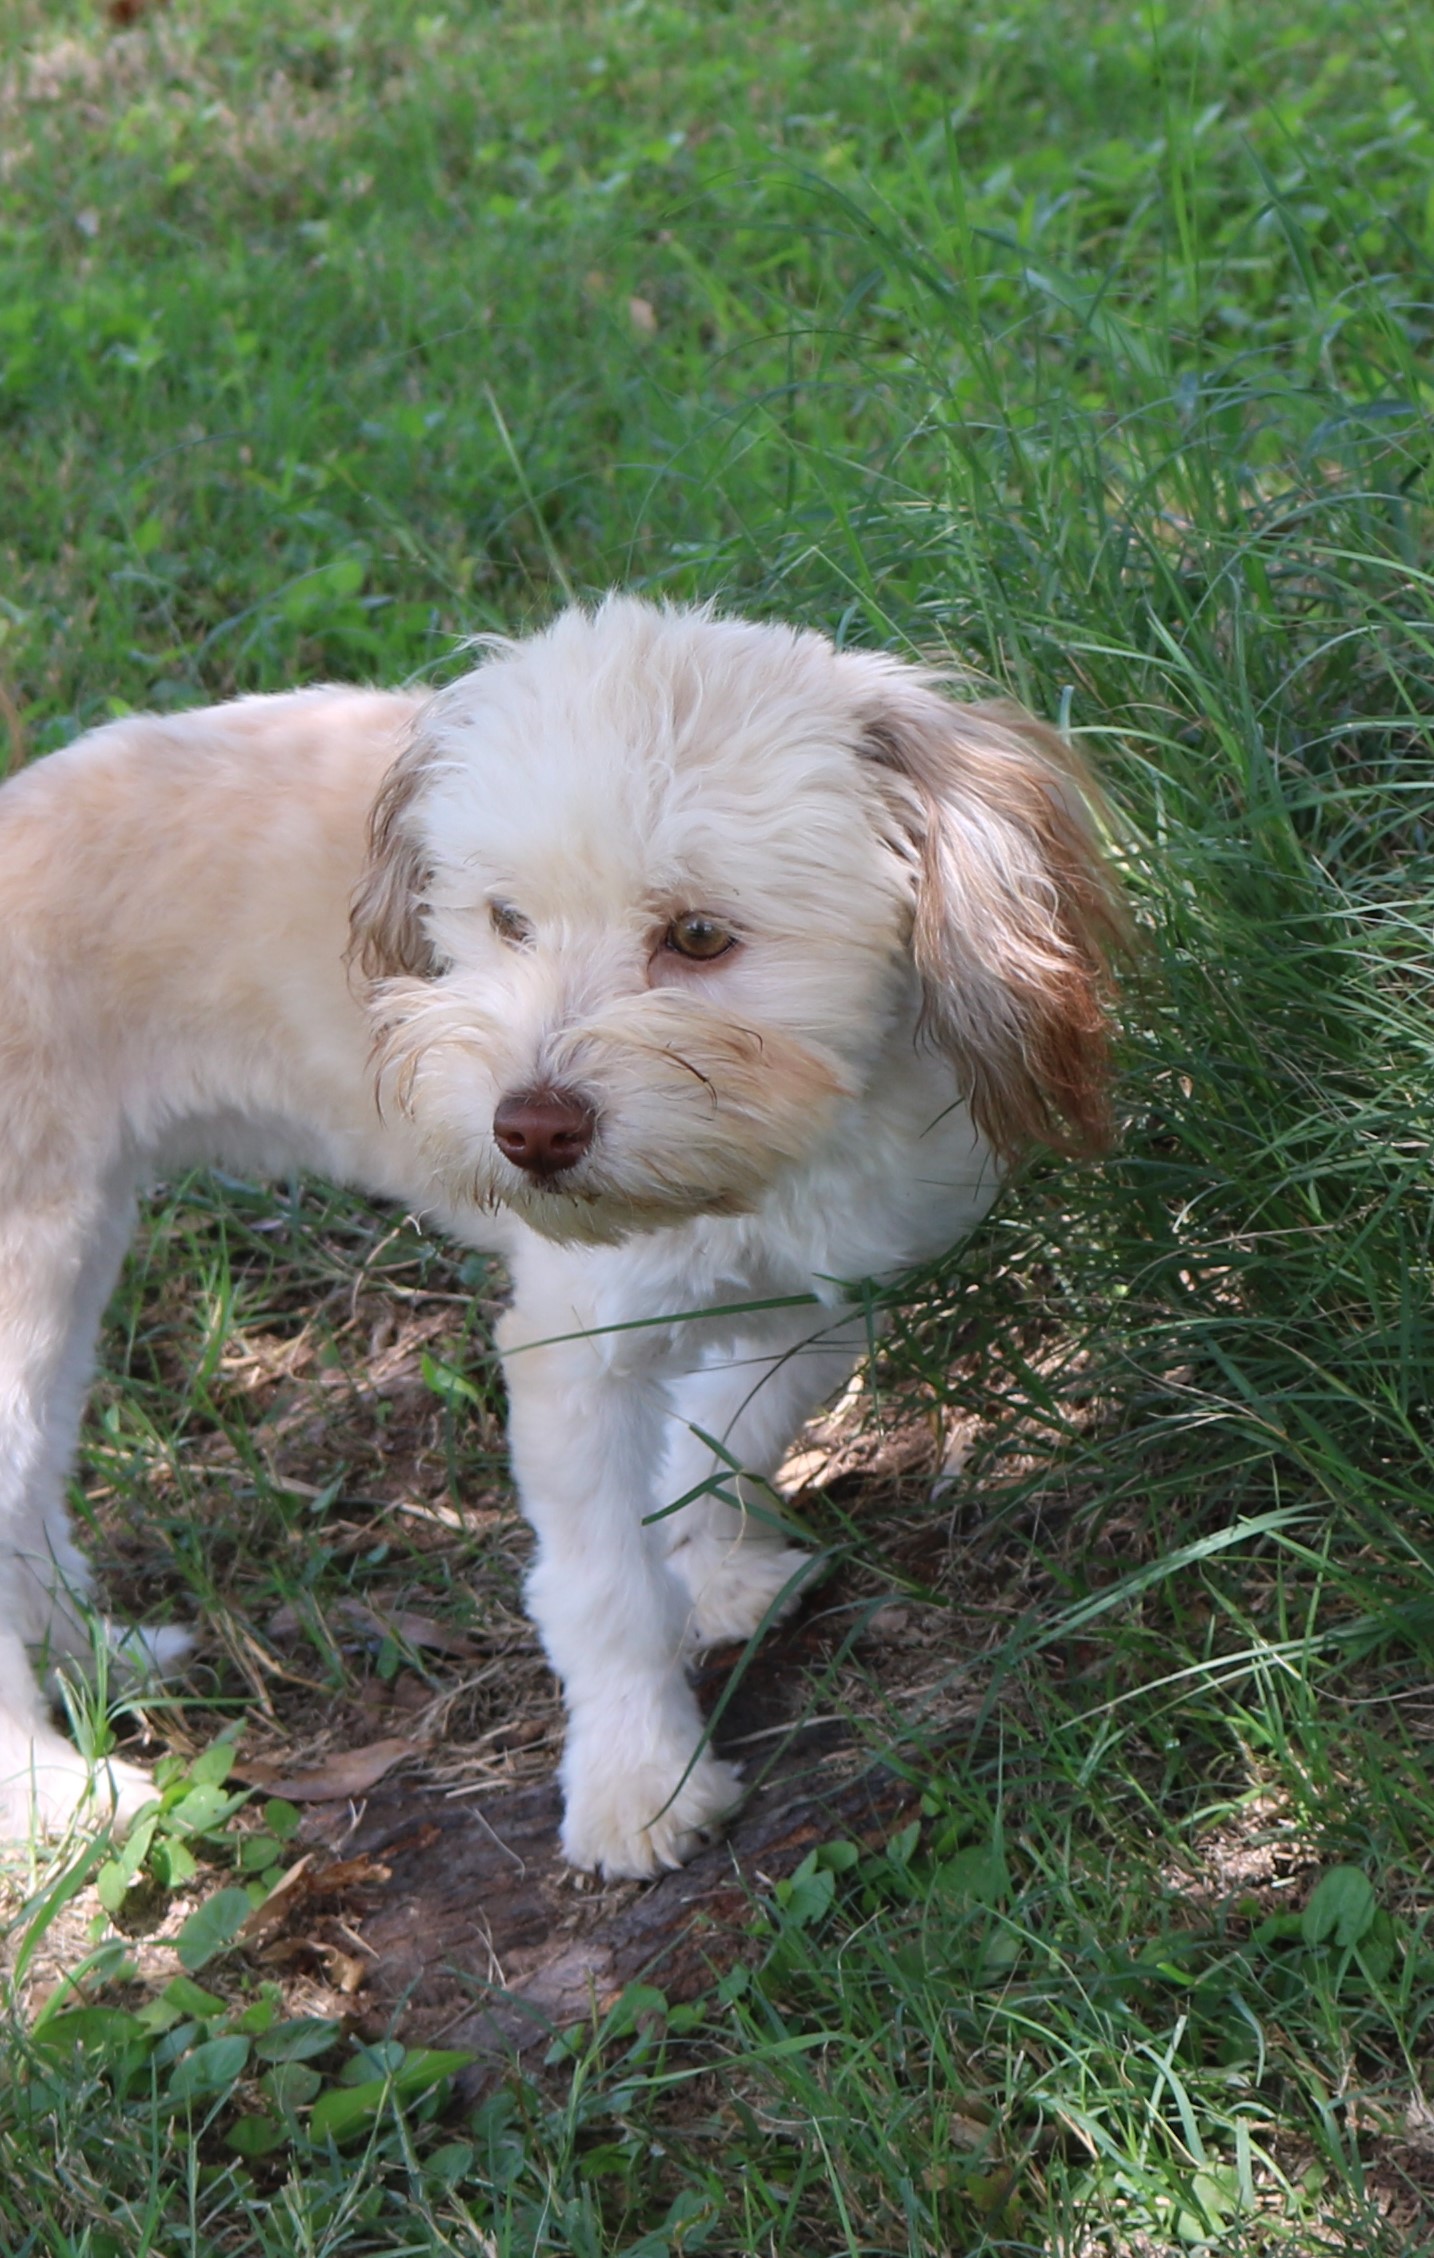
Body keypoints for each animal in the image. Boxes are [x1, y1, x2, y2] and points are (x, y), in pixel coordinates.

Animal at [0, 596, 1120, 1869]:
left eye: (700, 934)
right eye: (506, 920)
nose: (530, 1129)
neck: (757, 1166)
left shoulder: (818, 1295)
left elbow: (729, 1430)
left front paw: (711, 1570)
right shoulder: (568, 1353)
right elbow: (600, 1584)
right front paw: (639, 1773)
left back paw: (90, 1652)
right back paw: (46, 1787)